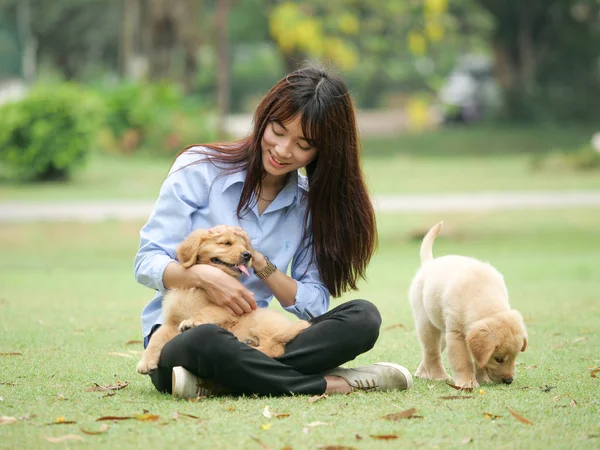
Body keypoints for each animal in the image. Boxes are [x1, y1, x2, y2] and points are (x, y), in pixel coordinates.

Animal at [410, 222, 528, 390]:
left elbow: (479, 359)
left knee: (434, 351)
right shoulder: (457, 335)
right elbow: (463, 361)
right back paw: (438, 375)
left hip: (443, 331)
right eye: (498, 359)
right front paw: (468, 382)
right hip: (426, 323)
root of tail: (430, 263)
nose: (509, 380)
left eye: (516, 356)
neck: (482, 294)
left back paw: (422, 372)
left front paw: (482, 378)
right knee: (431, 350)